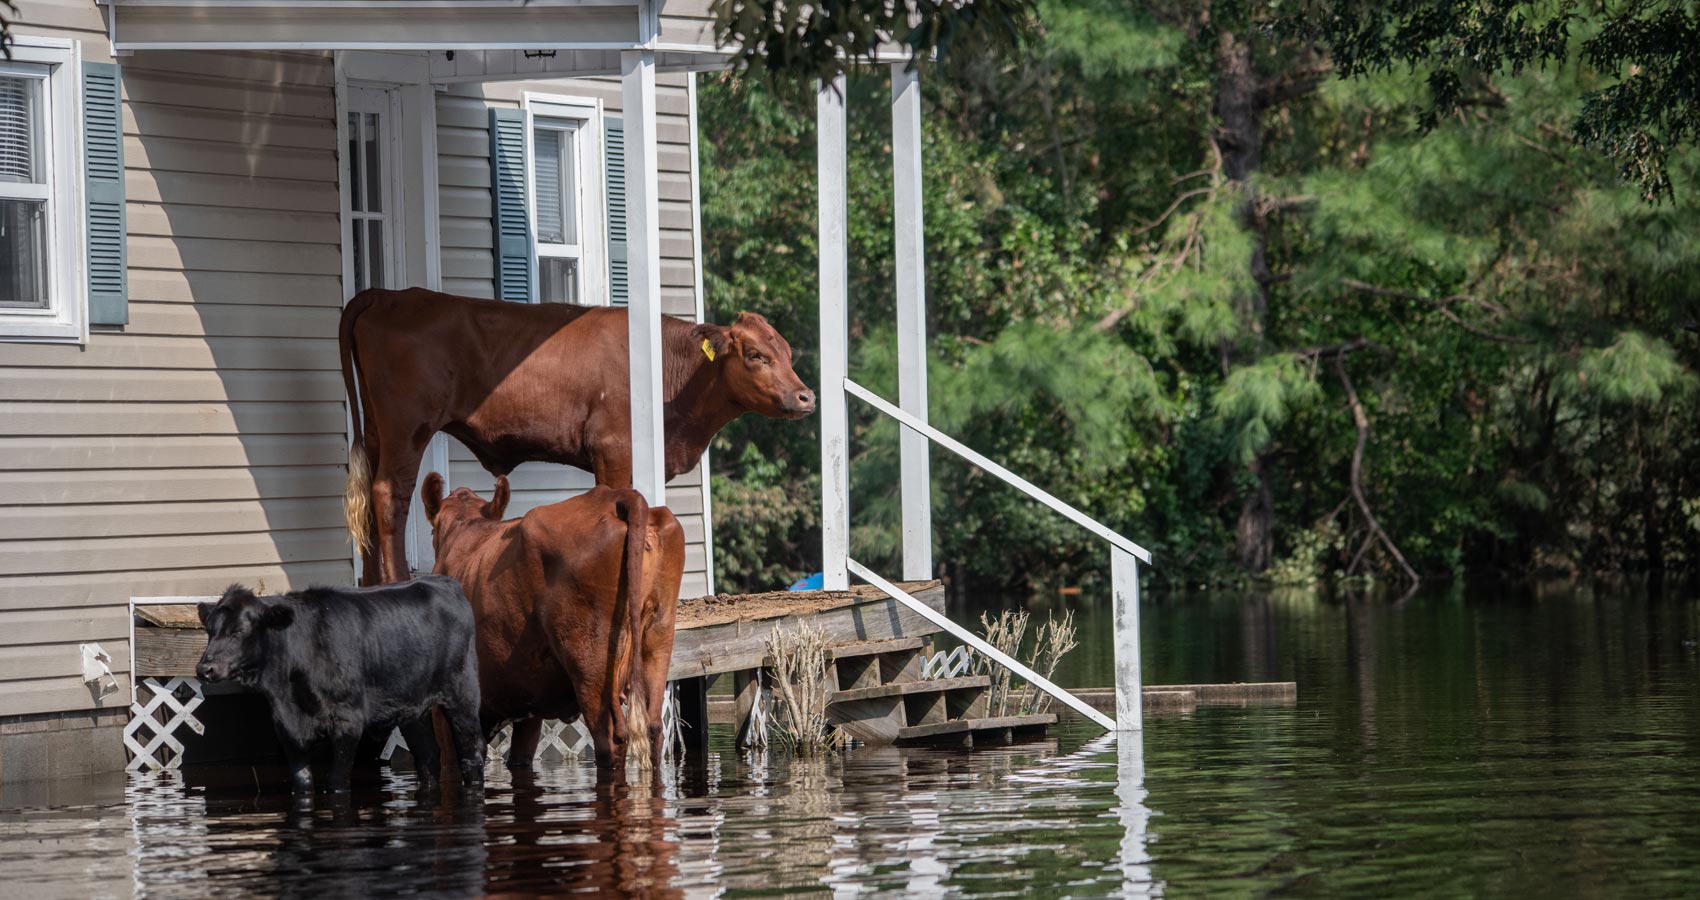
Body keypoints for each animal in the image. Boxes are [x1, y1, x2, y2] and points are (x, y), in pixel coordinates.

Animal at [194, 575, 486, 792]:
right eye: (209, 630)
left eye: (239, 631)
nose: (205, 669)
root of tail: (443, 582)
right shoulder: (286, 729)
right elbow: (303, 781)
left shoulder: (348, 722)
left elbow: (336, 781)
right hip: (412, 709)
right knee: (428, 757)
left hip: (463, 693)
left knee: (472, 751)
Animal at [338, 287, 809, 581]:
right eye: (755, 354)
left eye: (788, 352)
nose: (807, 396)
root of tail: (392, 295)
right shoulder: (614, 450)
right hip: (406, 427)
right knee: (389, 494)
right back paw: (396, 580)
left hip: (378, 429)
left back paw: (370, 583)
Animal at [423, 469, 683, 772]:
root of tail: (615, 497)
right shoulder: (528, 707)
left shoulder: (444, 708)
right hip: (657, 635)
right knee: (653, 729)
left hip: (589, 660)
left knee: (610, 738)